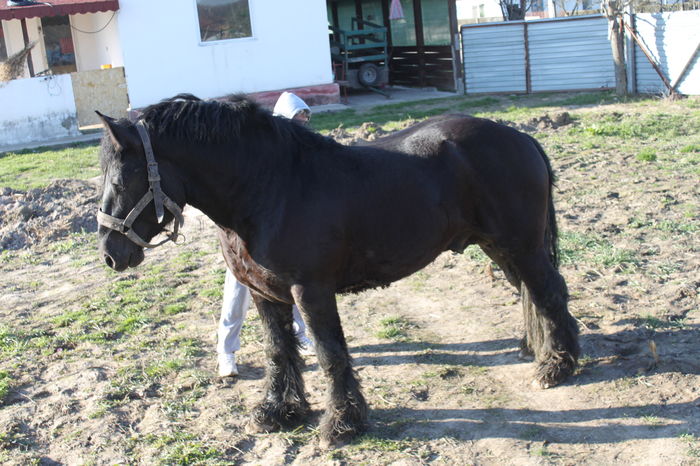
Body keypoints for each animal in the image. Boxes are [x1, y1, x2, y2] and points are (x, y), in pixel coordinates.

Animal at [96, 94, 579, 447]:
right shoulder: (265, 294)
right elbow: (279, 352)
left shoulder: (310, 291)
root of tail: (521, 138)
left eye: (122, 179)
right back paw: (536, 350)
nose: (110, 253)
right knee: (532, 294)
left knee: (550, 294)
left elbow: (330, 355)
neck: (268, 187)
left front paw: (341, 423)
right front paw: (278, 412)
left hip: (522, 246)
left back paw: (556, 368)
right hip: (500, 248)